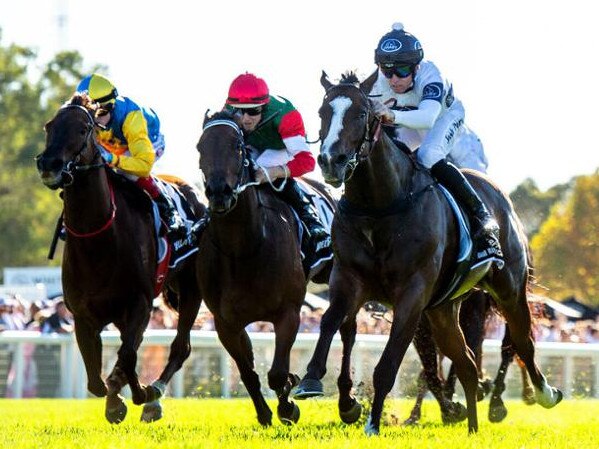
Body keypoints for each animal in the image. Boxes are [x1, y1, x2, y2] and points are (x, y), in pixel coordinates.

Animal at [37, 95, 207, 424]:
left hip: (191, 289)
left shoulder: (140, 303)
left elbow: (127, 355)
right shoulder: (83, 315)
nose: (49, 164)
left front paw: (138, 393)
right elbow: (95, 379)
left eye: (82, 128)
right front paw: (115, 398)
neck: (98, 240)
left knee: (180, 347)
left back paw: (154, 395)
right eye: (49, 126)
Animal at [197, 111, 336, 424]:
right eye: (200, 147)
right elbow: (248, 372)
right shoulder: (225, 323)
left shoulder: (289, 312)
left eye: (237, 146)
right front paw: (264, 413)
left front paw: (288, 405)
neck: (244, 248)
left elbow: (277, 373)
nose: (219, 193)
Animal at [296, 72, 564, 434]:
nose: (331, 161)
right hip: (443, 309)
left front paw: (373, 424)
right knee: (466, 362)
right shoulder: (349, 279)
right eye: (323, 112)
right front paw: (312, 381)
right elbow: (330, 321)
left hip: (508, 290)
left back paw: (541, 394)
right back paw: (472, 429)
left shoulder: (412, 293)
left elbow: (389, 363)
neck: (379, 205)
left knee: (521, 342)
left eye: (362, 113)